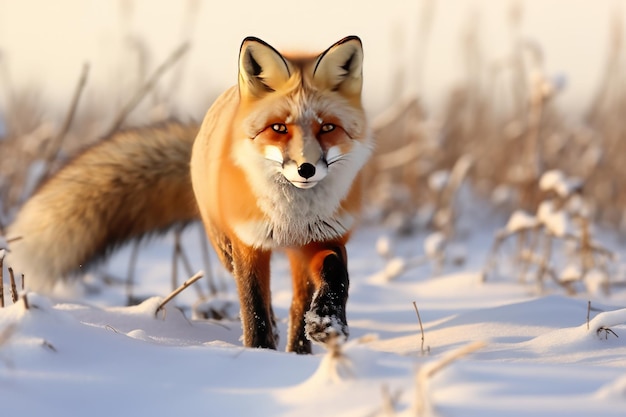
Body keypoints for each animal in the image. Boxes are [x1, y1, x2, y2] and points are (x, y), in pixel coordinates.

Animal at [4, 36, 370, 354]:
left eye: (327, 128)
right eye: (279, 128)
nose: (306, 169)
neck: (291, 216)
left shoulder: (323, 237)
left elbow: (336, 275)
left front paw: (328, 321)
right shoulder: (247, 245)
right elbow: (254, 308)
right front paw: (260, 353)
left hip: (295, 253)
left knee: (297, 304)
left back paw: (299, 350)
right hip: (225, 248)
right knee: (267, 302)